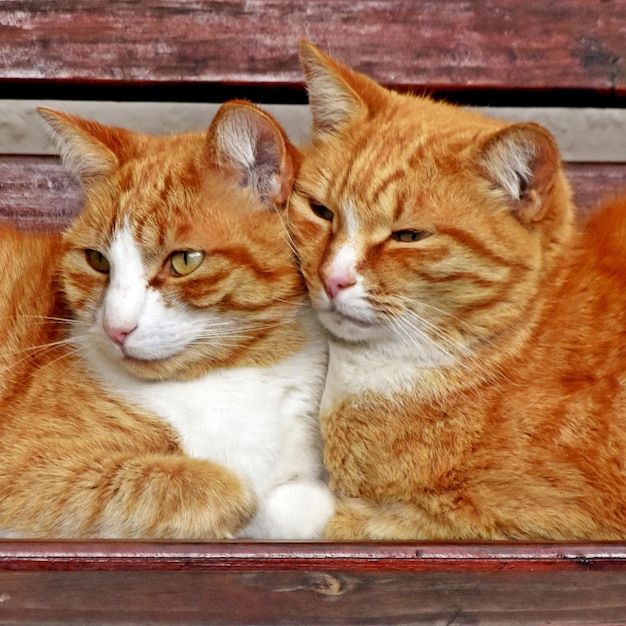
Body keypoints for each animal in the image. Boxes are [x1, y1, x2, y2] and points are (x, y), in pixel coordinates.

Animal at [0, 100, 332, 540]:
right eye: (98, 261)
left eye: (184, 261)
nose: (116, 328)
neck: (229, 380)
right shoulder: (28, 466)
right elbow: (211, 486)